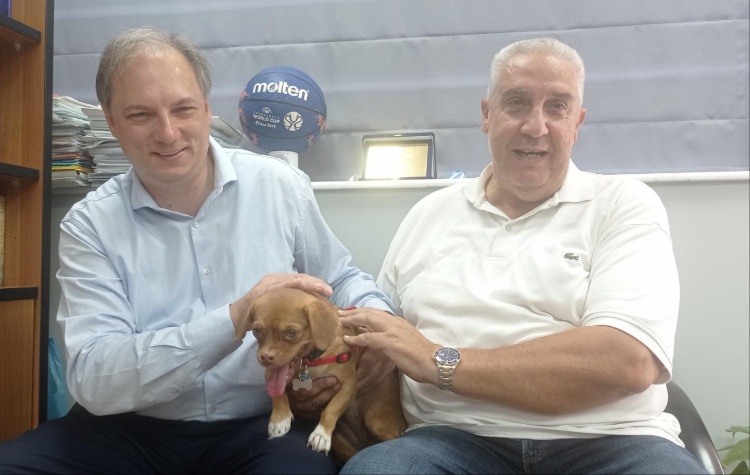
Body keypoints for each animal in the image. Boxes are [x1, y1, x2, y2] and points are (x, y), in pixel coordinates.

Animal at [235, 287, 407, 463]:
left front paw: (321, 434)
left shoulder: (349, 385)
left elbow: (332, 408)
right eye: (256, 331)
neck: (311, 362)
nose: (265, 357)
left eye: (291, 332)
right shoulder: (271, 374)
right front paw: (279, 419)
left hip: (377, 422)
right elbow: (278, 393)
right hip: (342, 445)